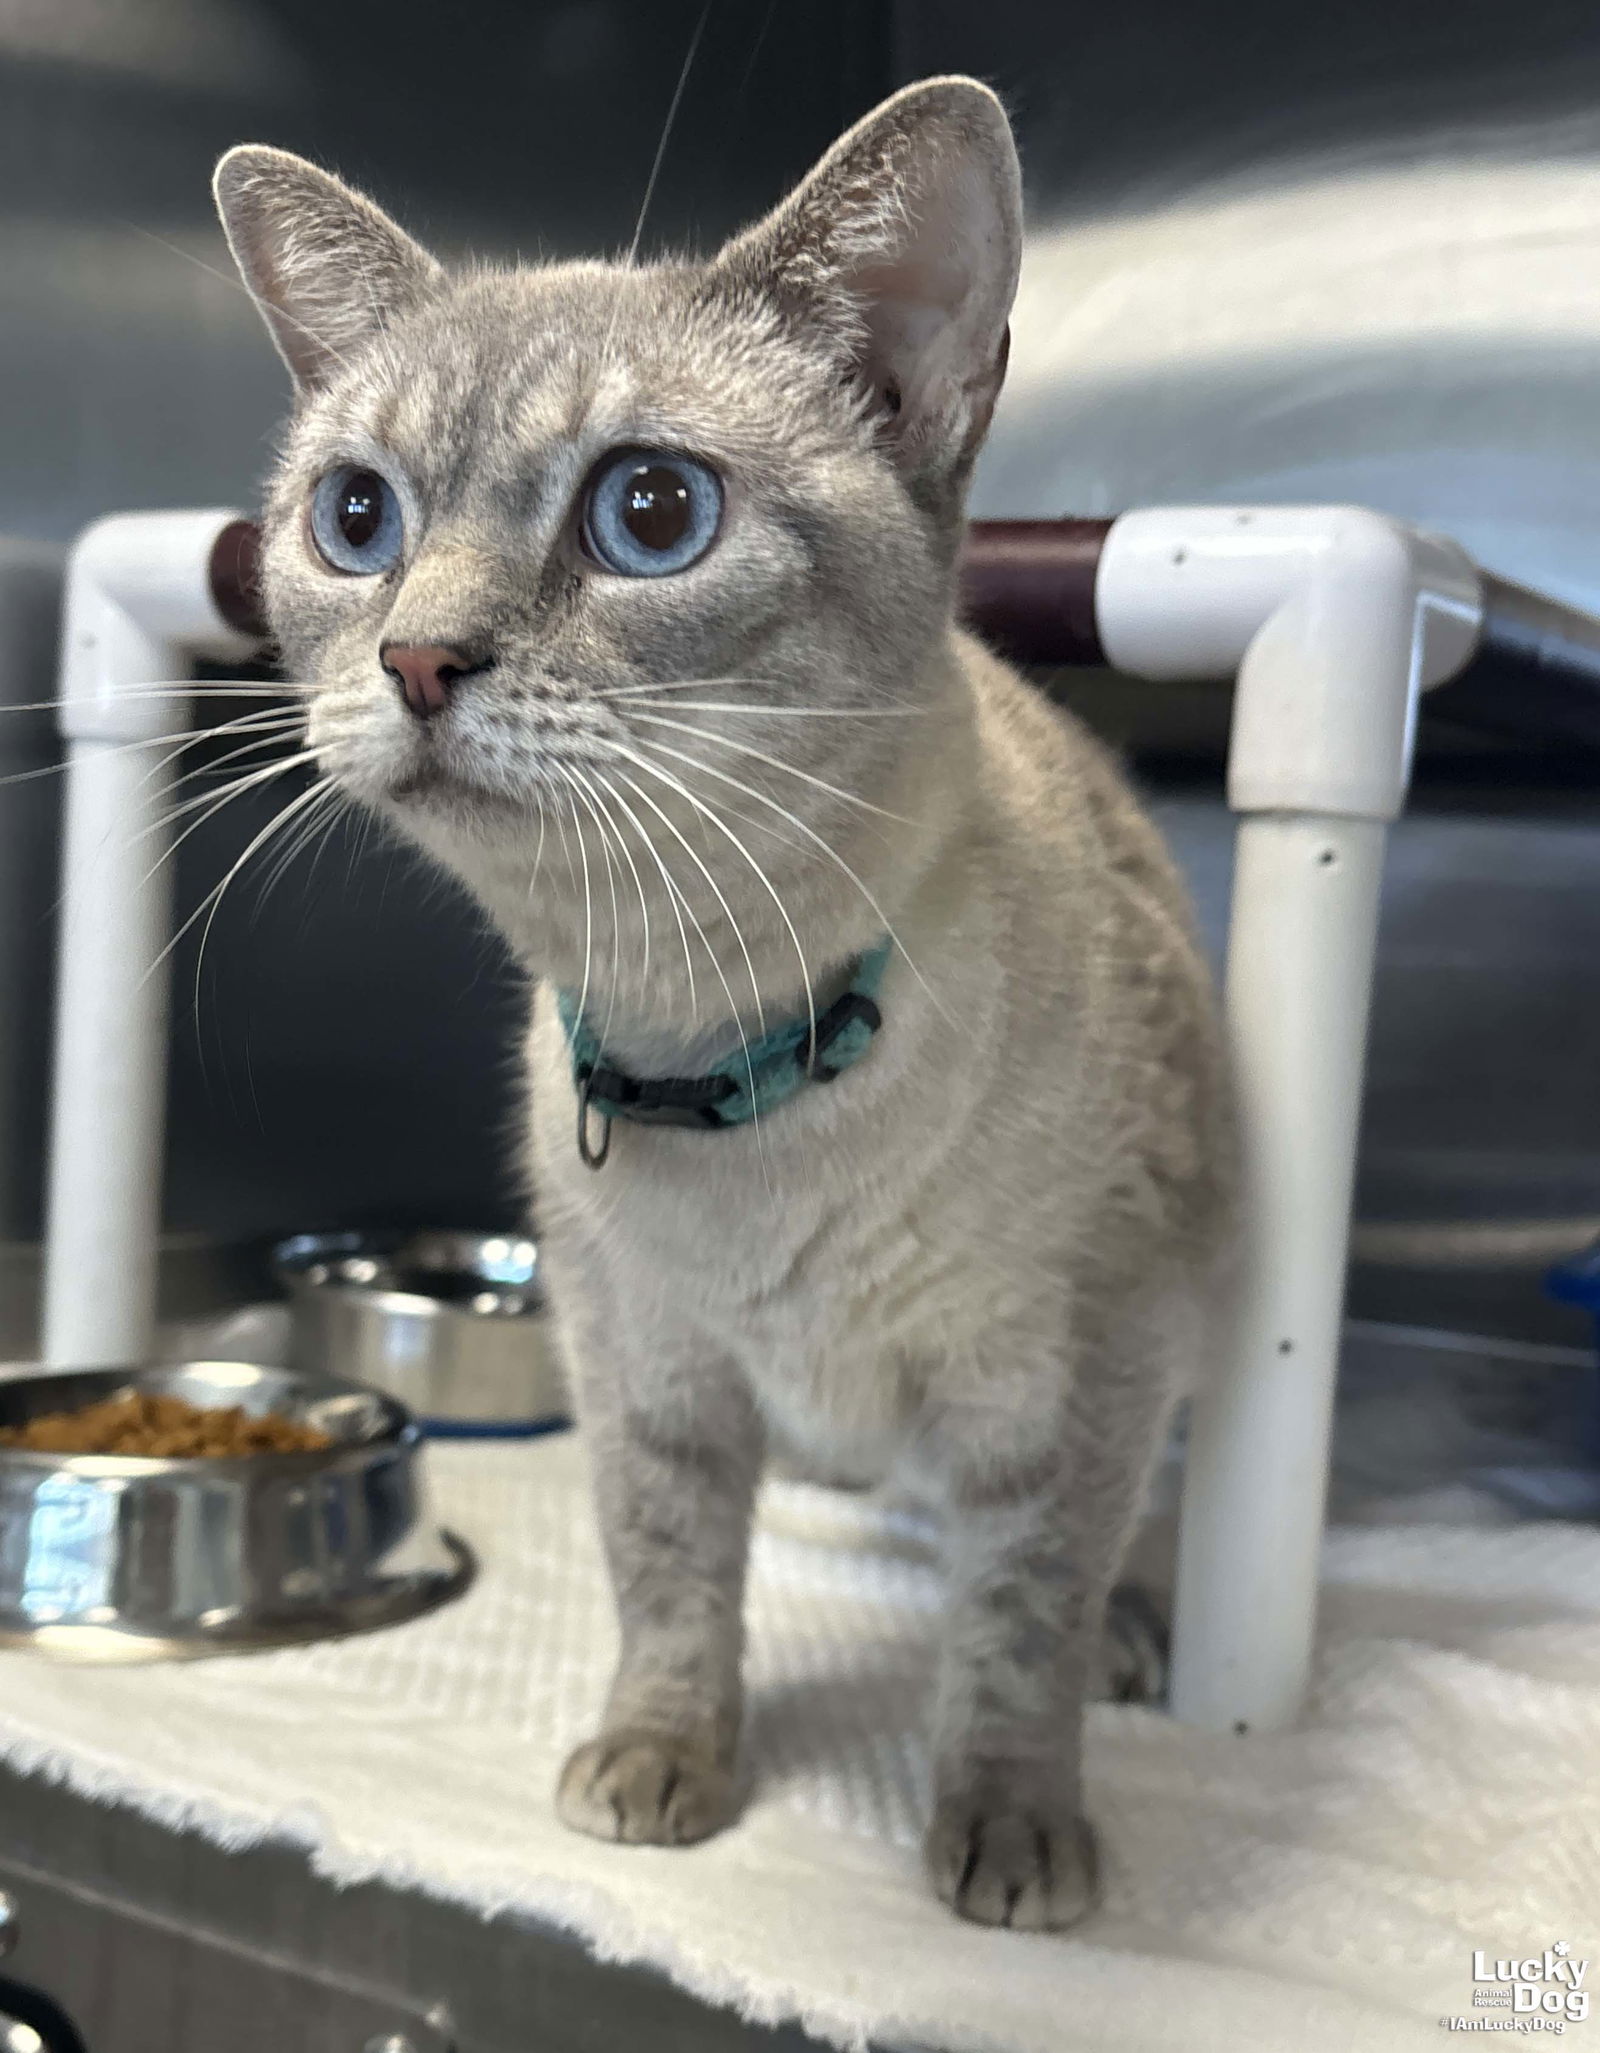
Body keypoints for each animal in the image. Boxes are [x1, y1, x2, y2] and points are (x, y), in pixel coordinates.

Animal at [215, 68, 1240, 1921]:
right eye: (355, 519)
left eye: (649, 514)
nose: (416, 659)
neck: (710, 1036)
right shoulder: (647, 1368)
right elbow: (671, 1578)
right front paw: (660, 1767)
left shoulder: (1068, 1384)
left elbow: (1021, 1618)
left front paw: (1008, 1837)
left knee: (1130, 1535)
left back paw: (1139, 1646)